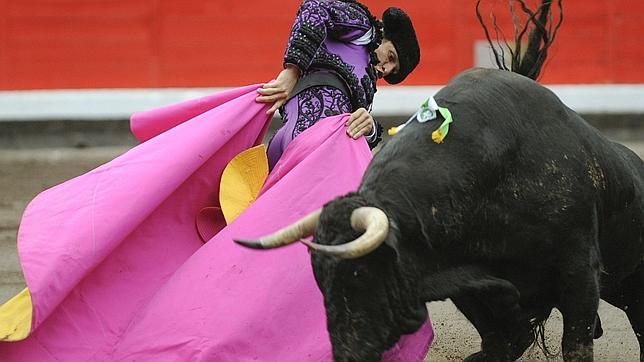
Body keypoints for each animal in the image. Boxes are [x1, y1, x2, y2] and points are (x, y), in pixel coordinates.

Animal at [238, 68, 644, 362]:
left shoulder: (579, 269)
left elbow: (575, 345)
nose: (347, 354)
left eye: (360, 272)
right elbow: (500, 341)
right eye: (318, 279)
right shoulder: (462, 278)